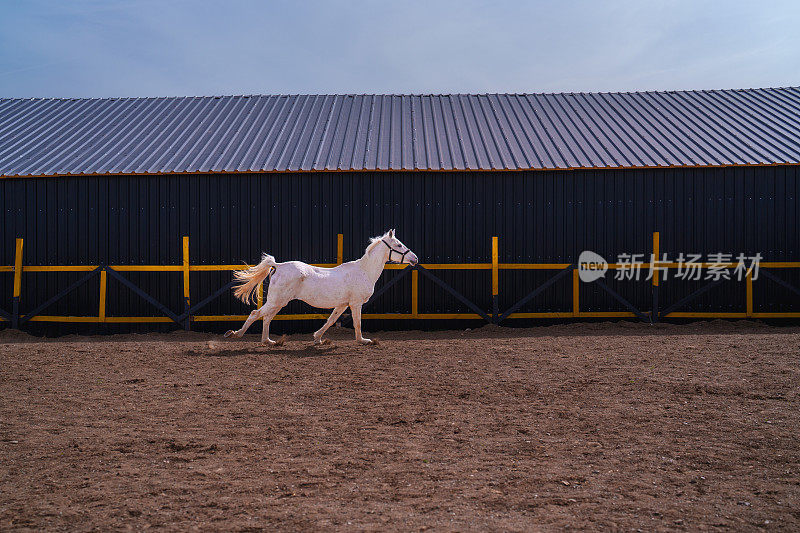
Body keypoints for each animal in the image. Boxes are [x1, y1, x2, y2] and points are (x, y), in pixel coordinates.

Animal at [222, 229, 416, 344]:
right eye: (399, 245)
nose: (415, 258)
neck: (364, 271)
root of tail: (278, 265)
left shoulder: (342, 304)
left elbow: (331, 320)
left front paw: (318, 338)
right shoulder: (356, 303)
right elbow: (357, 322)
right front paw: (363, 341)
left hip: (279, 302)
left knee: (267, 317)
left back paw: (269, 341)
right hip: (277, 301)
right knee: (256, 314)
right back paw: (235, 334)